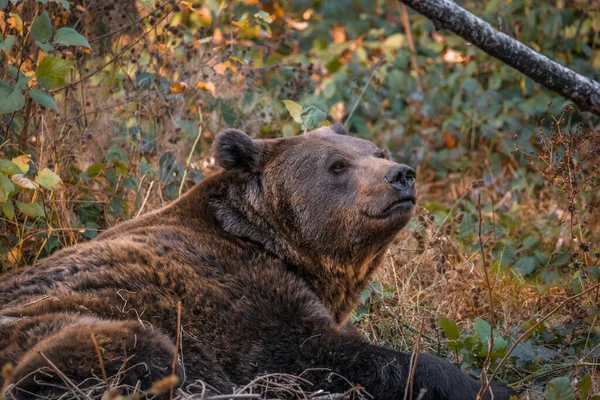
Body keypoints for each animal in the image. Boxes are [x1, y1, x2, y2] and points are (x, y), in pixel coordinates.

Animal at [0, 126, 516, 400]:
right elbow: (327, 354)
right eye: (337, 165)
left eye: (377, 151)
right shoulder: (243, 300)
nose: (401, 176)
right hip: (55, 328)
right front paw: (483, 385)